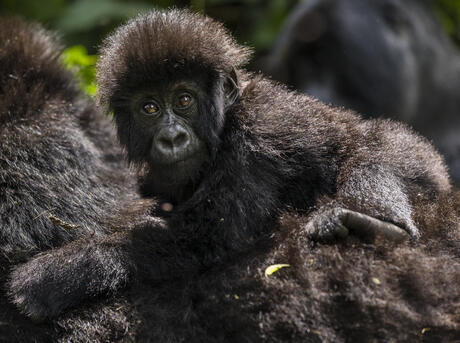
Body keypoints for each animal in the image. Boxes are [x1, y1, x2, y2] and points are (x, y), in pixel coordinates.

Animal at [9, 9, 452, 322]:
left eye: (184, 100)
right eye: (149, 108)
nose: (172, 138)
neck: (227, 117)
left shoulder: (256, 139)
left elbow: (208, 237)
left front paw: (64, 272)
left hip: (417, 156)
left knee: (376, 153)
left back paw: (376, 221)